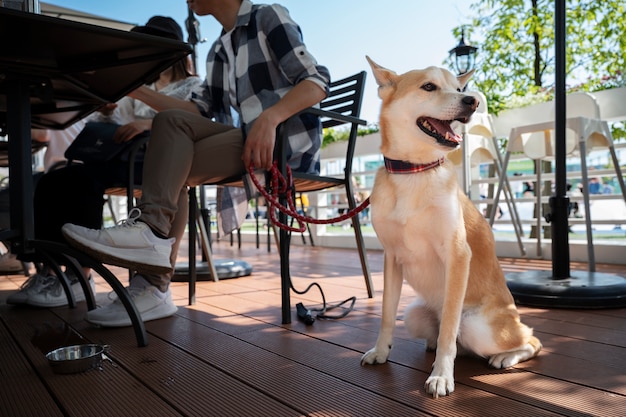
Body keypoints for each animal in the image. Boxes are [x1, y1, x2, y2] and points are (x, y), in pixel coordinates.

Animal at [358, 57, 540, 398]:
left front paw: (442, 375)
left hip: (480, 327)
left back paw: (504, 357)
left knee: (530, 339)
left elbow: (448, 334)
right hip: (415, 315)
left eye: (458, 88)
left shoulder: (457, 254)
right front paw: (380, 351)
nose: (472, 101)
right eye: (429, 86)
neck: (414, 172)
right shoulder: (391, 257)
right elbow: (386, 314)